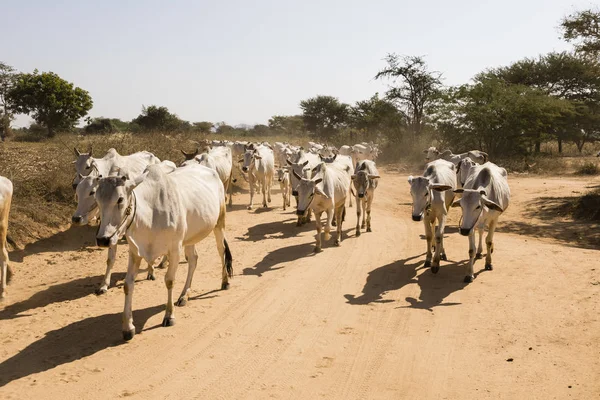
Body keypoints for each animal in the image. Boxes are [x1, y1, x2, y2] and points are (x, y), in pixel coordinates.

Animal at [95, 164, 233, 340]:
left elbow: (169, 280)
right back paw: (184, 295)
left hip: (219, 223)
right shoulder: (135, 252)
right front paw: (128, 327)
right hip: (190, 237)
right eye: (97, 200)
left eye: (120, 199)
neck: (151, 213)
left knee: (221, 251)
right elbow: (127, 285)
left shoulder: (174, 250)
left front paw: (169, 316)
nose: (103, 239)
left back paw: (225, 281)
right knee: (193, 259)